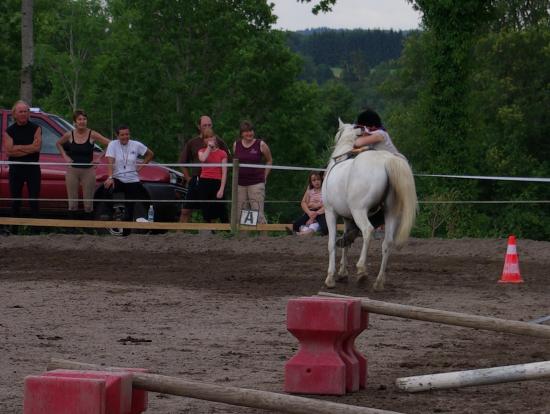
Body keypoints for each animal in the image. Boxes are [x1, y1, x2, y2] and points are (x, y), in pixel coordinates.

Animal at [324, 119, 418, 292]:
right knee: (387, 242)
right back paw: (379, 282)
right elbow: (346, 242)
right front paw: (342, 273)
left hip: (359, 211)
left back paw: (362, 270)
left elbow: (331, 244)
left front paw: (330, 278)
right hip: (390, 213)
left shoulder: (330, 212)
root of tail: (386, 160)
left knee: (367, 230)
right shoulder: (347, 218)